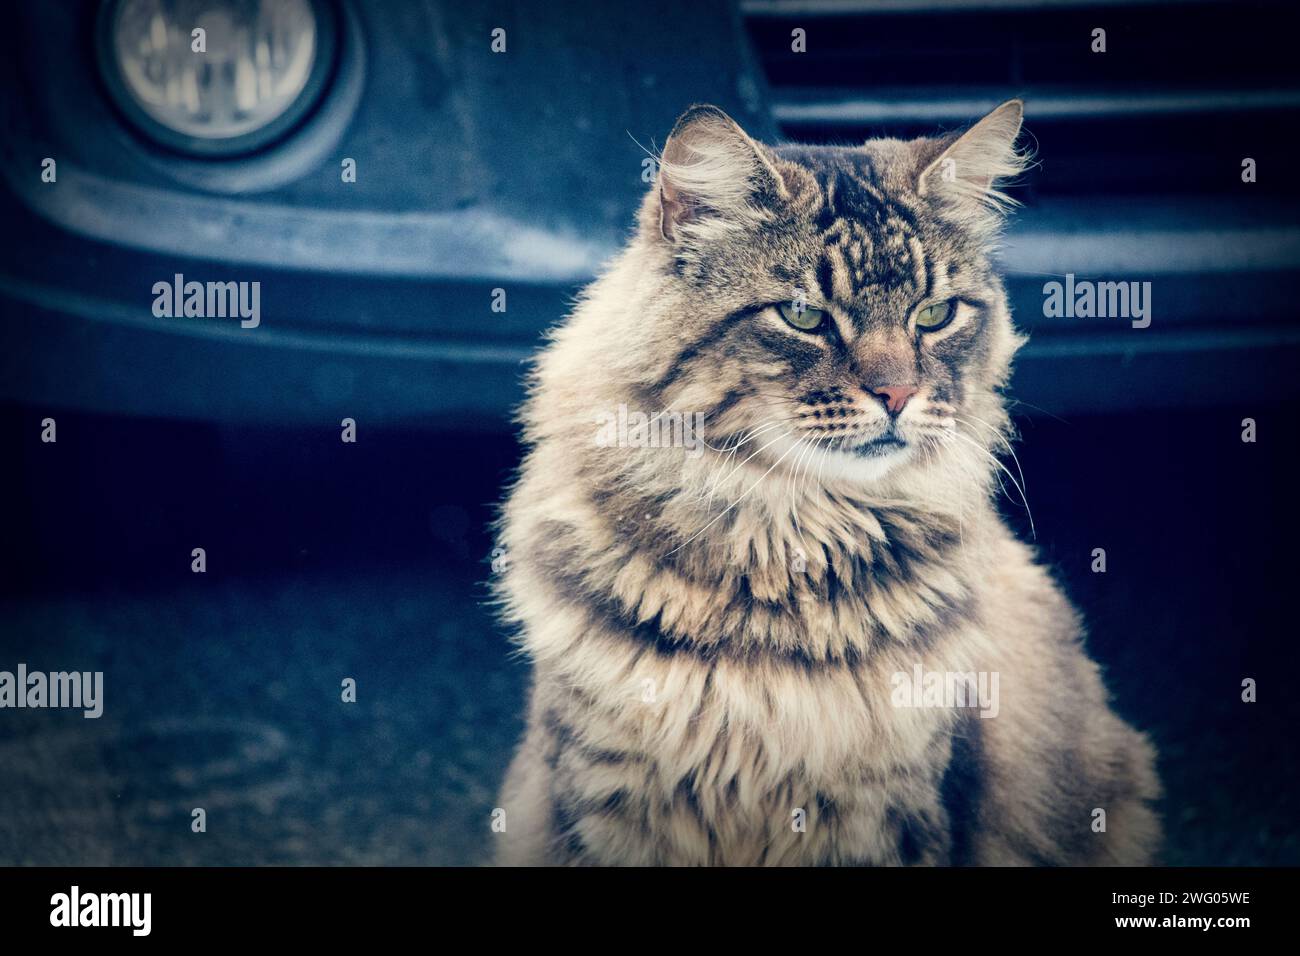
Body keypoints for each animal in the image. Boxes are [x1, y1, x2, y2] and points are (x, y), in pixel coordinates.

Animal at [491, 98, 1164, 868]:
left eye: (935, 315)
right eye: (804, 316)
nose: (898, 395)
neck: (784, 549)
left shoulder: (892, 806)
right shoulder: (605, 797)